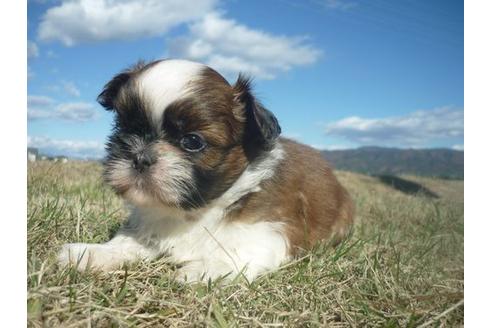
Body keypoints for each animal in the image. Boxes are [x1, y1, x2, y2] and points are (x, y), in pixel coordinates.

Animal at [58, 59, 354, 282]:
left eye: (192, 141)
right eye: (127, 128)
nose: (140, 157)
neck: (196, 211)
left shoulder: (272, 229)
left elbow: (240, 247)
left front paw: (207, 268)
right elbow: (126, 242)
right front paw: (92, 253)